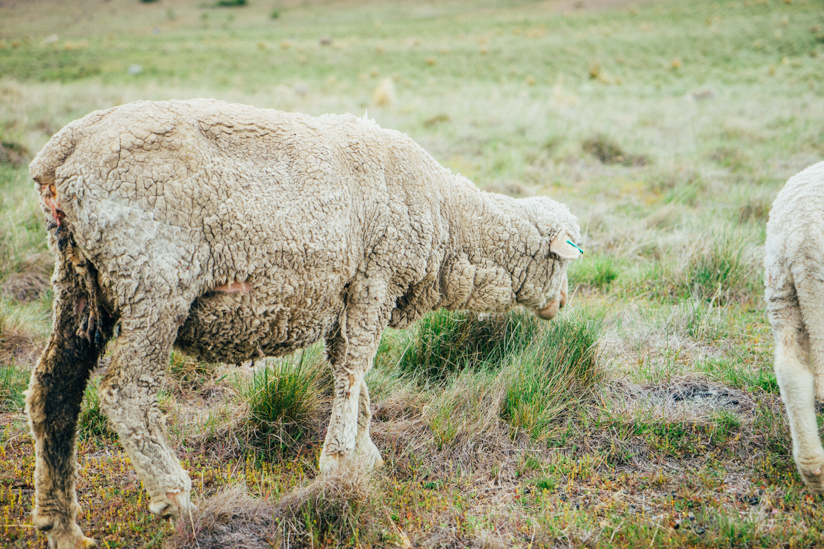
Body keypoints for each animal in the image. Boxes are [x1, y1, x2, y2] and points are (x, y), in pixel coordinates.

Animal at [24, 99, 580, 548]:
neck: (448, 220)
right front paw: (338, 464)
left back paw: (62, 527)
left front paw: (364, 454)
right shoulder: (376, 278)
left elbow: (351, 374)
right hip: (153, 280)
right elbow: (355, 371)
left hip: (79, 282)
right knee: (126, 392)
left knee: (54, 389)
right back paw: (174, 497)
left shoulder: (348, 295)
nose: (563, 303)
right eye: (568, 257)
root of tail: (61, 154)